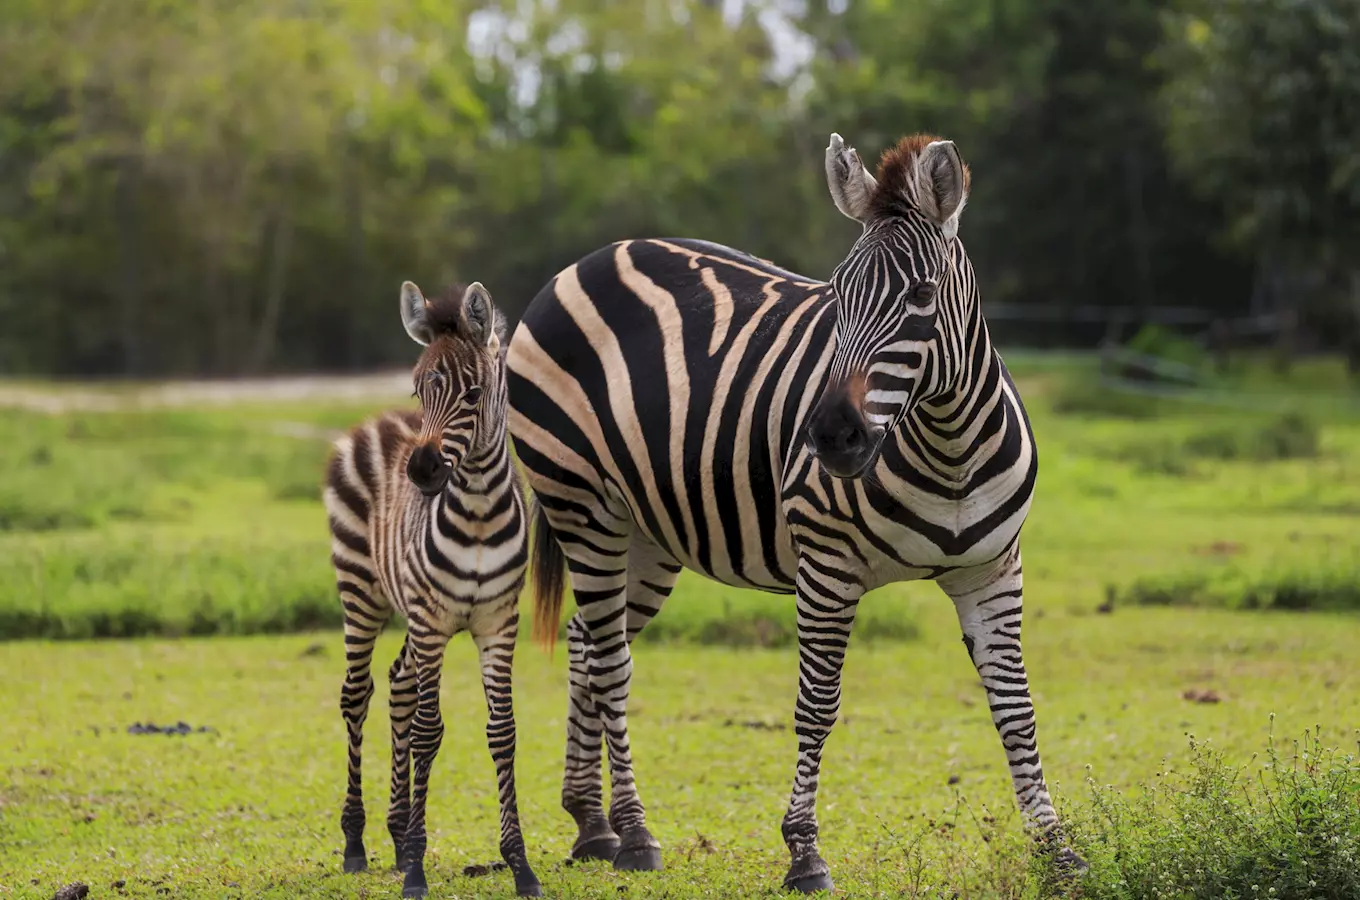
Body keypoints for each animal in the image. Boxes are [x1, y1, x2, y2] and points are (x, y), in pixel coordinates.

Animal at [323, 282, 541, 900]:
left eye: (473, 392)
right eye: (419, 388)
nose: (420, 472)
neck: (480, 514)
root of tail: (379, 423)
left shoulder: (497, 625)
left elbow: (502, 733)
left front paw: (520, 866)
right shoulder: (432, 623)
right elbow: (428, 732)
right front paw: (418, 868)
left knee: (398, 684)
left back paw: (397, 836)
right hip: (361, 591)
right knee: (357, 695)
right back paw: (357, 842)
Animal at [505, 133, 1088, 897]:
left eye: (922, 296)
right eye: (837, 293)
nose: (831, 436)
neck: (950, 447)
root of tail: (583, 262)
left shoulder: (993, 569)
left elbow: (1016, 706)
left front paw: (1057, 849)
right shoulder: (827, 567)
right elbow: (817, 706)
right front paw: (805, 853)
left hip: (644, 533)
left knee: (584, 641)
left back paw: (591, 825)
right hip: (582, 503)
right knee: (611, 663)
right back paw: (633, 835)